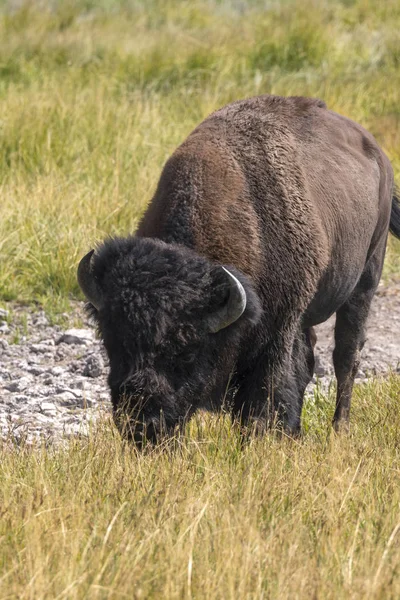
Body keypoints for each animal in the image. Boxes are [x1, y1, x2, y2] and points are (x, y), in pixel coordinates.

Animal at [76, 95, 398, 446]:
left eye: (186, 351)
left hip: (366, 278)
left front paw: (255, 440)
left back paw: (339, 429)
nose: (142, 423)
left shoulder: (277, 331)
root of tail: (379, 155)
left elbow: (262, 394)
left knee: (346, 355)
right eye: (112, 340)